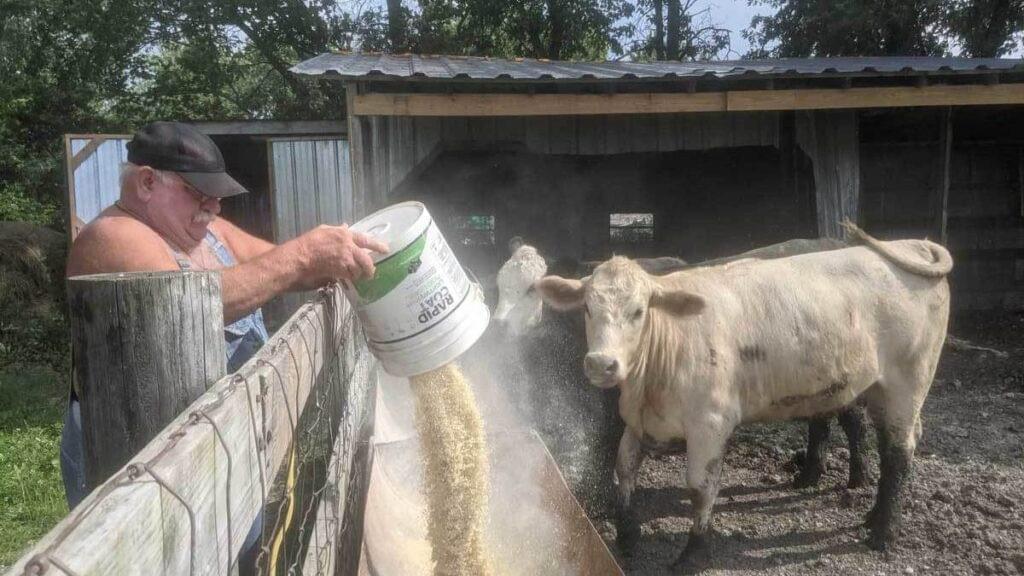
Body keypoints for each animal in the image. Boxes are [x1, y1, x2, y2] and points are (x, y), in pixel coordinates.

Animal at [536, 222, 950, 565]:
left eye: (639, 311)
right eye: (586, 308)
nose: (601, 364)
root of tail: (910, 245)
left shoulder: (710, 423)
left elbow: (700, 488)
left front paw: (694, 555)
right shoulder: (637, 421)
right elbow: (623, 470)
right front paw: (626, 535)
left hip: (909, 382)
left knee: (898, 452)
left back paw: (884, 532)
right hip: (873, 387)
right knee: (878, 439)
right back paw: (864, 508)